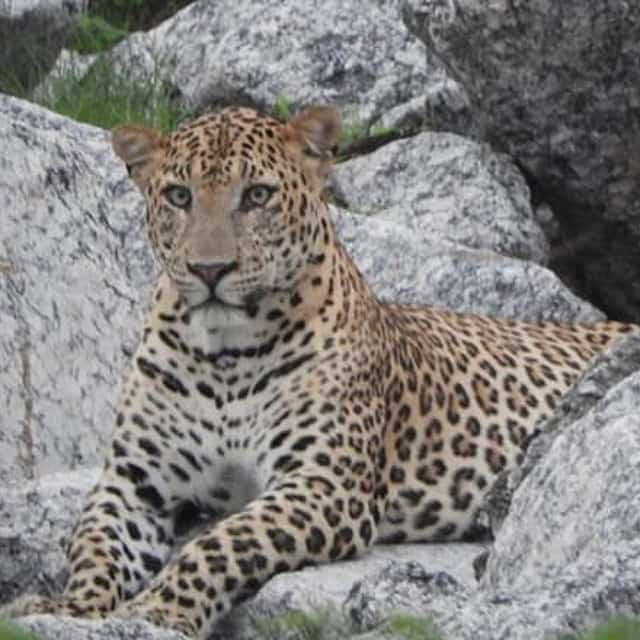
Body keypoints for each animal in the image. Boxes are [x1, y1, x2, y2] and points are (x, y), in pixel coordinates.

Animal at [3, 105, 636, 638]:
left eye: (257, 195)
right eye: (180, 196)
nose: (210, 269)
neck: (223, 356)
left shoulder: (322, 482)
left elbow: (222, 543)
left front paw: (160, 607)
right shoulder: (135, 484)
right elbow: (95, 548)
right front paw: (71, 606)